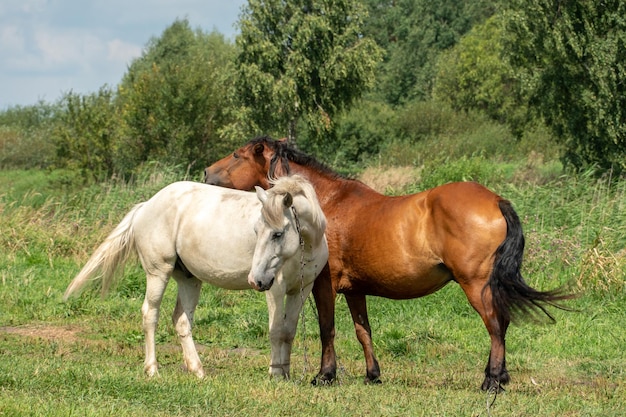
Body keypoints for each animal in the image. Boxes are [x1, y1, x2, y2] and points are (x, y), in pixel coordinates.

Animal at [63, 174, 326, 378]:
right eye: (256, 230)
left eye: (278, 234)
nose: (255, 280)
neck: (306, 246)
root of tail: (147, 204)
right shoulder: (275, 289)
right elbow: (276, 330)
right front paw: (275, 374)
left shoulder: (301, 290)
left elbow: (289, 331)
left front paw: (286, 373)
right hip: (158, 272)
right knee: (150, 314)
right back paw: (152, 369)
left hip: (189, 279)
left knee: (181, 320)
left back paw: (197, 370)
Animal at [204, 136, 572, 390]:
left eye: (236, 154)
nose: (206, 172)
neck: (323, 205)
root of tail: (495, 200)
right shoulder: (355, 290)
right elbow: (363, 331)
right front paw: (372, 374)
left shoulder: (324, 284)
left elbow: (327, 328)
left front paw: (325, 375)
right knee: (502, 325)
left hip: (476, 285)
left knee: (496, 326)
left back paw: (491, 381)